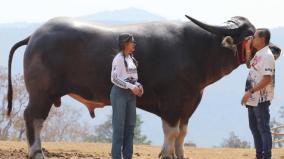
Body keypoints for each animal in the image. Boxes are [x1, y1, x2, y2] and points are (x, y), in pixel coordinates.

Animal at [6, 15, 280, 159]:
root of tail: (35, 35)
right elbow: (171, 131)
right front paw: (166, 154)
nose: (275, 49)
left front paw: (179, 154)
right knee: (33, 117)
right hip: (41, 93)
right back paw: (36, 152)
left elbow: (182, 132)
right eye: (251, 33)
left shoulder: (190, 103)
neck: (195, 50)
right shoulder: (172, 103)